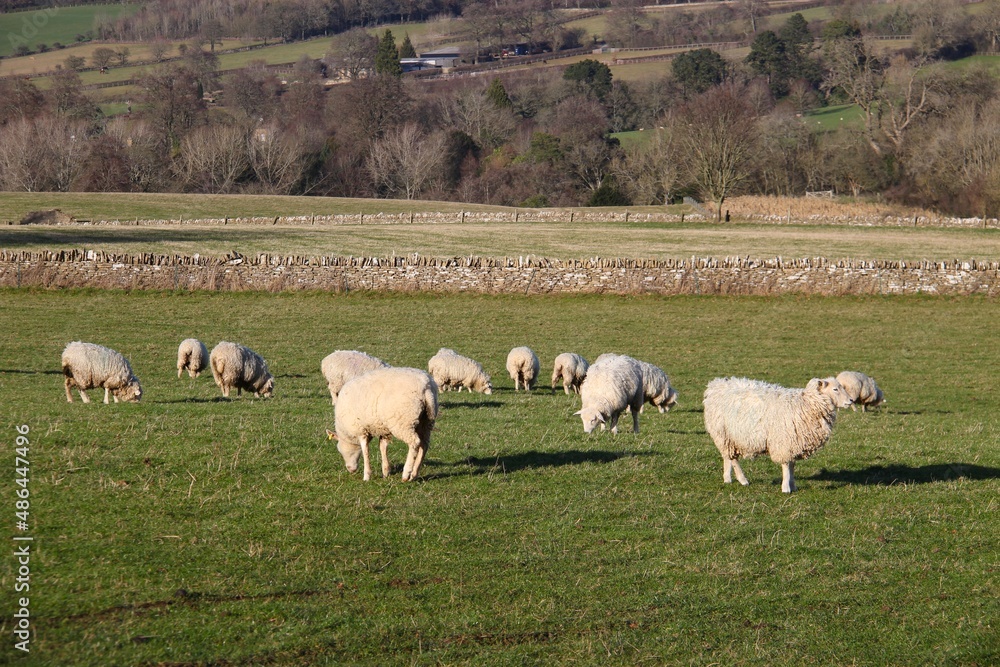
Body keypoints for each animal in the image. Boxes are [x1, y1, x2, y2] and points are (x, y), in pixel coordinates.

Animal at [703, 376, 853, 493]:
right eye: (835, 389)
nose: (851, 400)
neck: (806, 404)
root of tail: (715, 385)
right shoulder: (784, 442)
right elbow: (786, 466)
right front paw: (786, 488)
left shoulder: (794, 443)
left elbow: (792, 466)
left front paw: (793, 485)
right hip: (723, 433)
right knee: (733, 459)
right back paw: (743, 480)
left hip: (727, 436)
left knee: (727, 457)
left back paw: (727, 478)